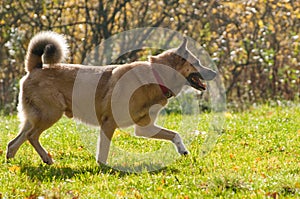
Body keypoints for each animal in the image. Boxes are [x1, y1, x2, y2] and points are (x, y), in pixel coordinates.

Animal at [6, 31, 216, 165]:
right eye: (197, 62)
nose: (214, 72)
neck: (156, 76)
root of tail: (36, 67)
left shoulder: (144, 128)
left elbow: (175, 134)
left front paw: (183, 150)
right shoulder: (109, 123)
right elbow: (103, 150)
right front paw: (103, 168)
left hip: (35, 118)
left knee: (15, 141)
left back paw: (16, 162)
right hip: (50, 114)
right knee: (31, 136)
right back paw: (41, 159)